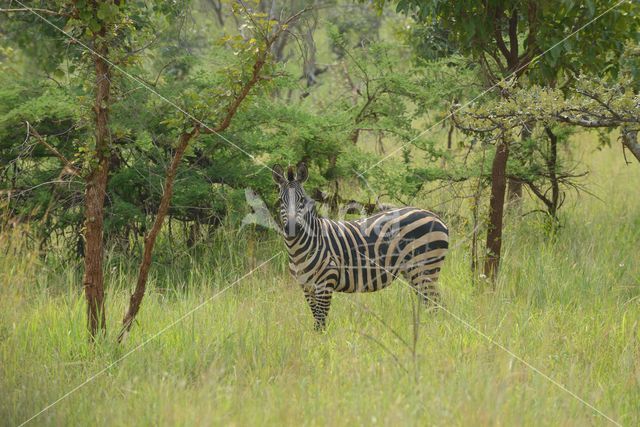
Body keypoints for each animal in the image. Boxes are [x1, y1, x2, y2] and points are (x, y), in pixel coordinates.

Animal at [272, 162, 450, 330]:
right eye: (280, 201)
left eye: (302, 200)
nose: (292, 228)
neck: (299, 249)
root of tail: (434, 216)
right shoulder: (306, 286)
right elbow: (317, 321)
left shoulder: (326, 281)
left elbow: (321, 322)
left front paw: (322, 342)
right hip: (413, 271)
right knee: (430, 304)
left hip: (425, 267)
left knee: (435, 305)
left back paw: (431, 332)